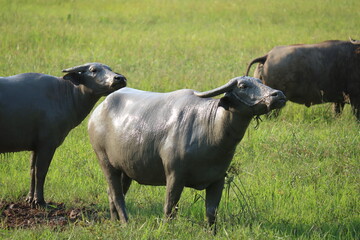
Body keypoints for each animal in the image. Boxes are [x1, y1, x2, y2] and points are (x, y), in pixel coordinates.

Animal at [0, 62, 126, 207]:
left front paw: (30, 199)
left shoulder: (36, 146)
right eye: (93, 70)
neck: (65, 96)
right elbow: (41, 172)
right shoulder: (47, 144)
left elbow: (32, 170)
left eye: (109, 69)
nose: (119, 78)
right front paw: (40, 201)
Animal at [88, 76, 286, 232]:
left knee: (113, 192)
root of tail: (98, 111)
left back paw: (115, 221)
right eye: (243, 86)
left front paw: (212, 232)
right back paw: (125, 223)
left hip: (126, 168)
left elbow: (211, 211)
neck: (211, 128)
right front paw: (167, 229)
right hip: (105, 161)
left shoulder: (218, 179)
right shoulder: (175, 175)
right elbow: (170, 206)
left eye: (261, 82)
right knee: (117, 195)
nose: (279, 95)